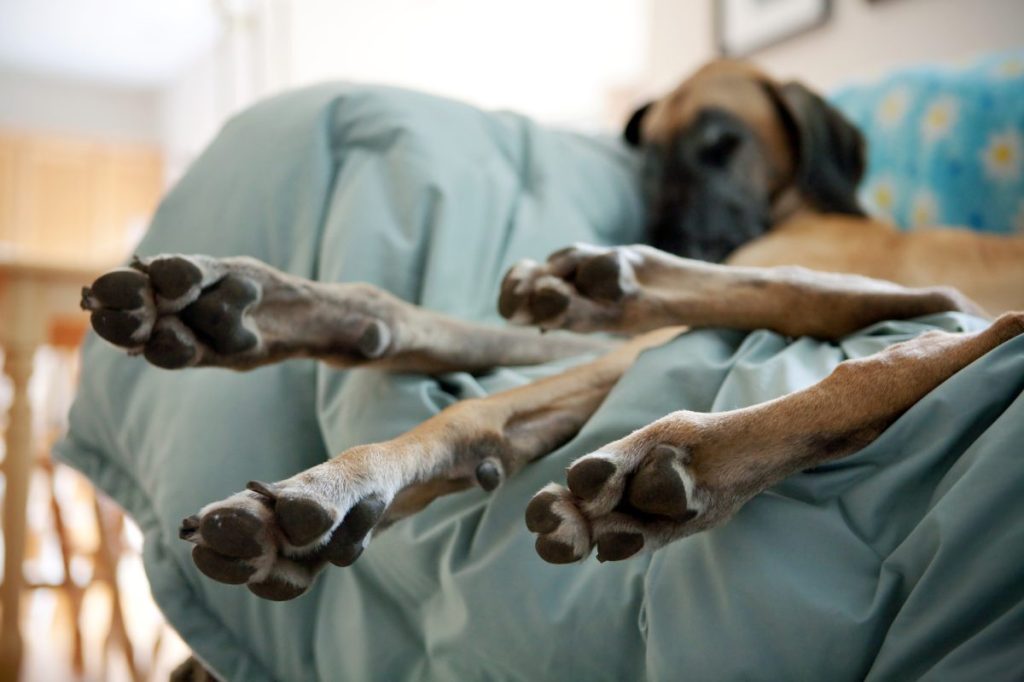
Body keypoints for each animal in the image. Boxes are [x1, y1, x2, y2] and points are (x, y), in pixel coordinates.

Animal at [81, 59, 1024, 602]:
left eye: (723, 144)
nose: (661, 227)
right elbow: (460, 352)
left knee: (876, 336)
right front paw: (256, 311)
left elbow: (468, 406)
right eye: (646, 158)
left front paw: (333, 486)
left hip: (944, 305)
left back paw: (670, 442)